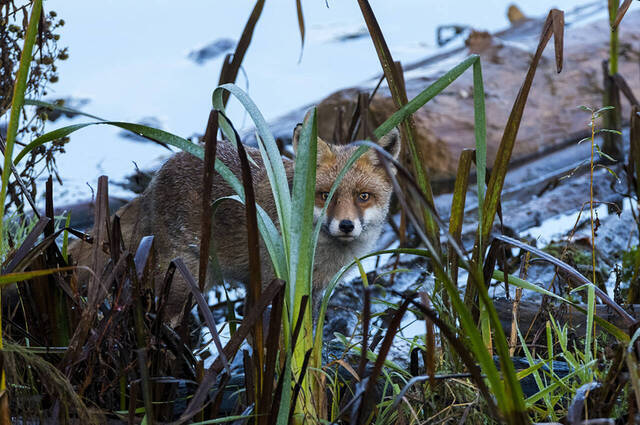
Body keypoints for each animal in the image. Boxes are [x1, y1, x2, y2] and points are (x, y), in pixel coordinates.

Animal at [71, 124, 401, 324]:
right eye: (324, 195)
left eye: (363, 196)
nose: (345, 225)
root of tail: (153, 183)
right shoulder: (274, 284)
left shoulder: (313, 292)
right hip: (182, 281)